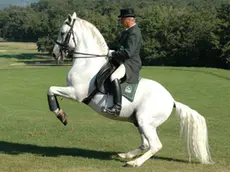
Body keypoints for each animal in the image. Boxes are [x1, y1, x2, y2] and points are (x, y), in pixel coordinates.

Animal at [48, 11, 212, 167]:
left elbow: (50, 89)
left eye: (62, 33)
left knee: (155, 145)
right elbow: (51, 90)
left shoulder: (75, 93)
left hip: (145, 121)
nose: (55, 54)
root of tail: (171, 100)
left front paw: (61, 115)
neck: (87, 63)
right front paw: (61, 114)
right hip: (138, 121)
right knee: (145, 144)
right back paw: (126, 155)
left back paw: (133, 163)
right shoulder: (73, 91)